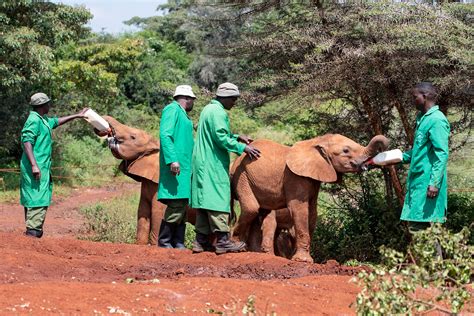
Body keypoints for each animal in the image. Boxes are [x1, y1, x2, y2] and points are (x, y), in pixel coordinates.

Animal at [231, 133, 388, 262]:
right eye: (345, 150)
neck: (316, 141)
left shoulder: (313, 179)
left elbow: (312, 213)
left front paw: (304, 258)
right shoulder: (294, 177)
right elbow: (299, 209)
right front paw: (302, 260)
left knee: (260, 213)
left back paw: (254, 253)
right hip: (242, 177)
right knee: (252, 209)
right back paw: (238, 247)